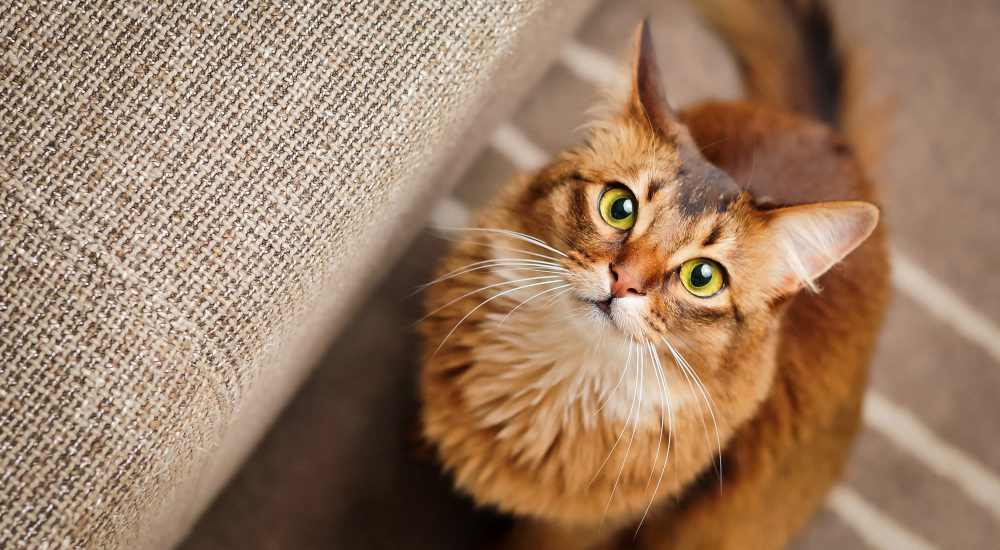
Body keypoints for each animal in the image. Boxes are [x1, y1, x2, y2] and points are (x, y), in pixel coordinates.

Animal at [418, 2, 888, 548]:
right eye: (619, 207)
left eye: (702, 277)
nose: (623, 281)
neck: (564, 380)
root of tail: (831, 137)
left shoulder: (579, 527)